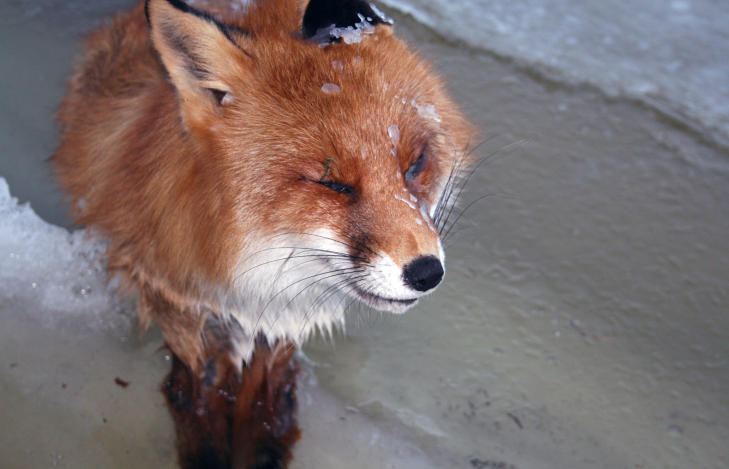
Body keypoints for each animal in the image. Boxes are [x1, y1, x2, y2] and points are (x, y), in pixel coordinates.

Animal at [51, 0, 472, 466]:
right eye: (332, 183)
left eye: (414, 165)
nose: (427, 273)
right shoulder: (177, 296)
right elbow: (202, 400)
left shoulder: (283, 319)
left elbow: (266, 404)